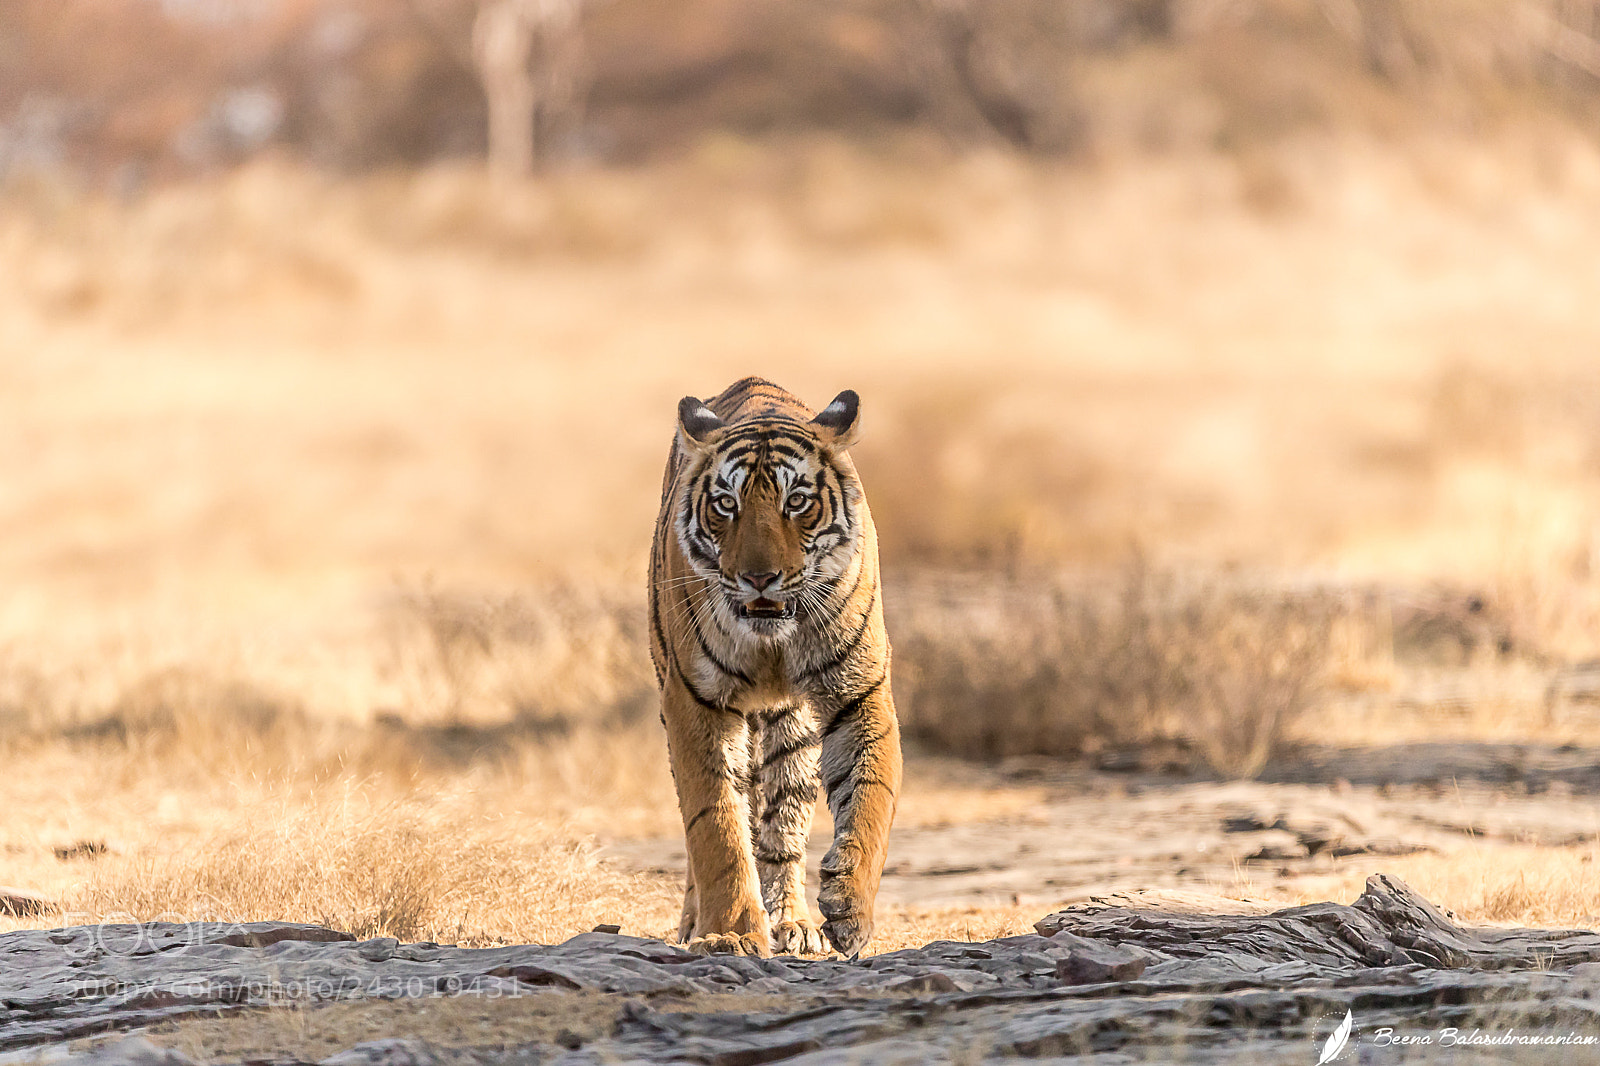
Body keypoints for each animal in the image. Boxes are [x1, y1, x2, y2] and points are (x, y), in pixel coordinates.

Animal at [647, 376, 902, 959]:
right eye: (726, 504)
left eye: (797, 502)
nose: (760, 578)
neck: (772, 643)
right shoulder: (694, 701)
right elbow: (716, 825)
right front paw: (729, 933)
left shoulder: (861, 692)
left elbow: (872, 797)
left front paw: (850, 909)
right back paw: (699, 924)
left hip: (795, 729)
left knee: (783, 827)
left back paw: (794, 922)